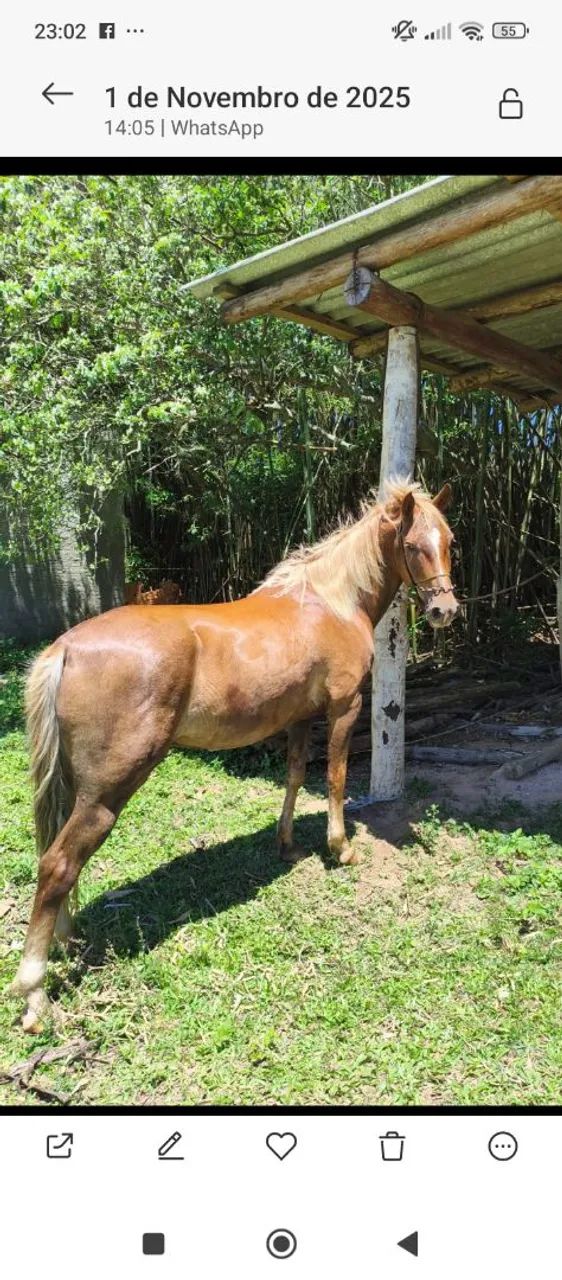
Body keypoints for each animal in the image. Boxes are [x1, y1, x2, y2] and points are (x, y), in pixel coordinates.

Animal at [10, 478, 458, 1031]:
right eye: (414, 545)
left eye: (450, 542)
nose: (444, 611)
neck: (330, 602)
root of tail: (65, 649)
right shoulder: (344, 709)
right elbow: (334, 779)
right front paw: (341, 848)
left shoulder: (299, 720)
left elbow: (294, 777)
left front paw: (288, 845)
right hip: (107, 792)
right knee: (57, 864)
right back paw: (34, 994)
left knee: (55, 858)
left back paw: (64, 939)